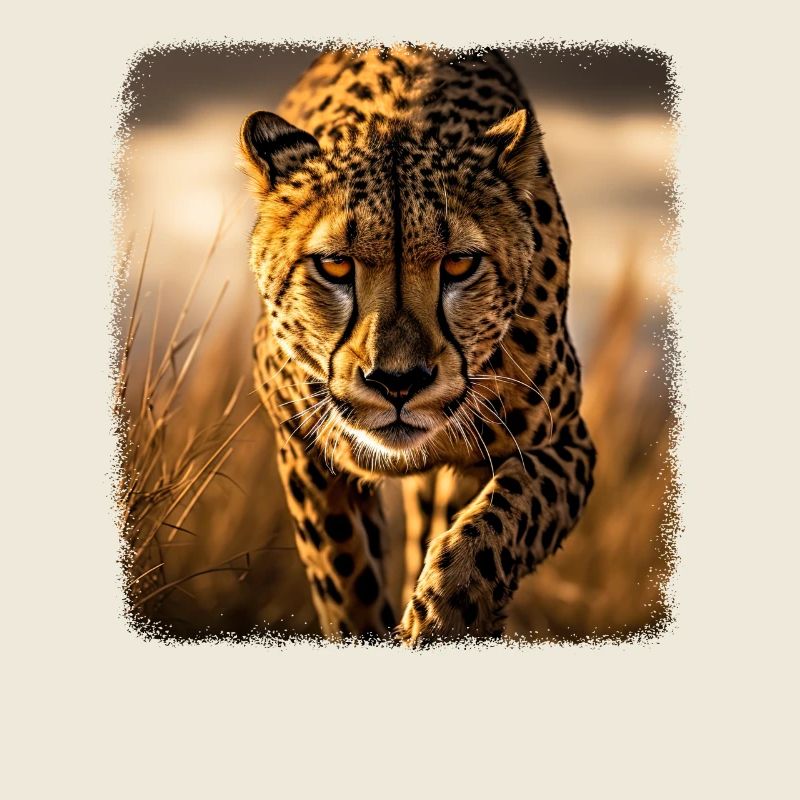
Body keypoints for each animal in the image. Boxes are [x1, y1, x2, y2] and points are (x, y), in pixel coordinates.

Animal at [239, 45, 596, 646]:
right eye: (335, 265)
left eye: (459, 264)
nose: (398, 382)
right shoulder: (303, 447)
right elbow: (345, 578)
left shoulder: (568, 443)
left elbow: (502, 516)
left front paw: (450, 609)